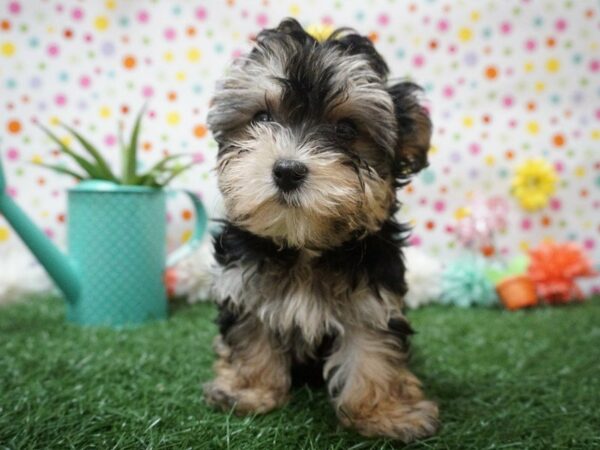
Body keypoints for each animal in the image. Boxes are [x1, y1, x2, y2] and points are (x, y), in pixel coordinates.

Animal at [203, 19, 436, 442]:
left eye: (346, 129)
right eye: (262, 118)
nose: (287, 170)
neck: (305, 244)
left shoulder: (372, 300)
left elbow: (372, 353)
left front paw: (384, 413)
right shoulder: (243, 284)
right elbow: (250, 334)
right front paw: (248, 391)